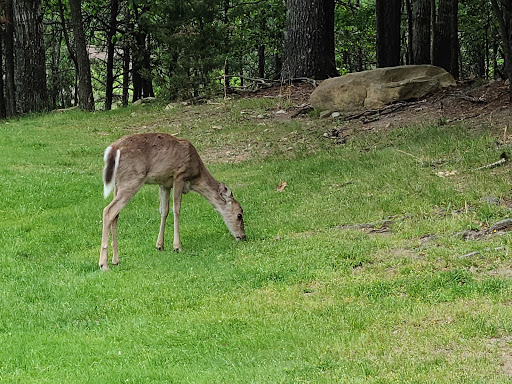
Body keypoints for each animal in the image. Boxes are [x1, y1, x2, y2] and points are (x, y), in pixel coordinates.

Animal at [99, 134, 246, 272]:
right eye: (239, 215)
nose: (243, 237)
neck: (196, 176)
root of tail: (113, 149)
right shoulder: (179, 175)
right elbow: (177, 209)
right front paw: (177, 246)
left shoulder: (164, 184)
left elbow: (164, 210)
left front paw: (160, 245)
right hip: (133, 178)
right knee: (108, 210)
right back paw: (103, 265)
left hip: (118, 183)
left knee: (116, 215)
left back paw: (115, 260)